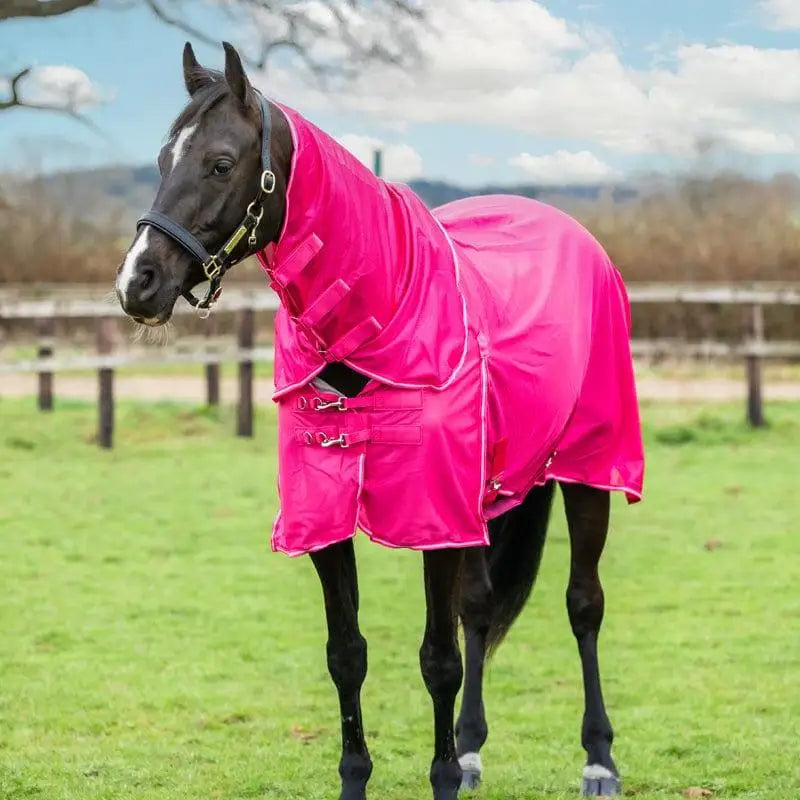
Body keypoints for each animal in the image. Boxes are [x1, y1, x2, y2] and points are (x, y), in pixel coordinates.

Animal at [115, 41, 645, 800]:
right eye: (162, 159)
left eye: (219, 162)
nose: (138, 283)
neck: (379, 318)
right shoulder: (329, 517)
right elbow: (348, 653)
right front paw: (362, 777)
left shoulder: (432, 514)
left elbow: (438, 660)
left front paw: (442, 776)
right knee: (480, 606)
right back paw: (474, 749)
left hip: (589, 467)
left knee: (583, 603)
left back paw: (598, 760)